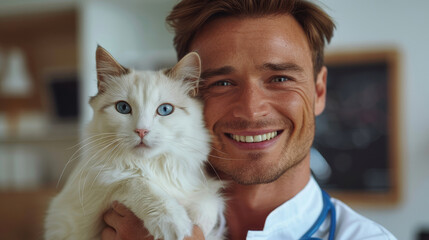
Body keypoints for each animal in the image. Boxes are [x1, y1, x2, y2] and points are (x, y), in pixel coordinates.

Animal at [44, 45, 224, 240]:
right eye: (123, 108)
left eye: (165, 109)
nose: (141, 131)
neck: (148, 165)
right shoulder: (96, 192)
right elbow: (135, 182)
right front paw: (175, 223)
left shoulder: (200, 184)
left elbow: (209, 200)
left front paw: (200, 224)